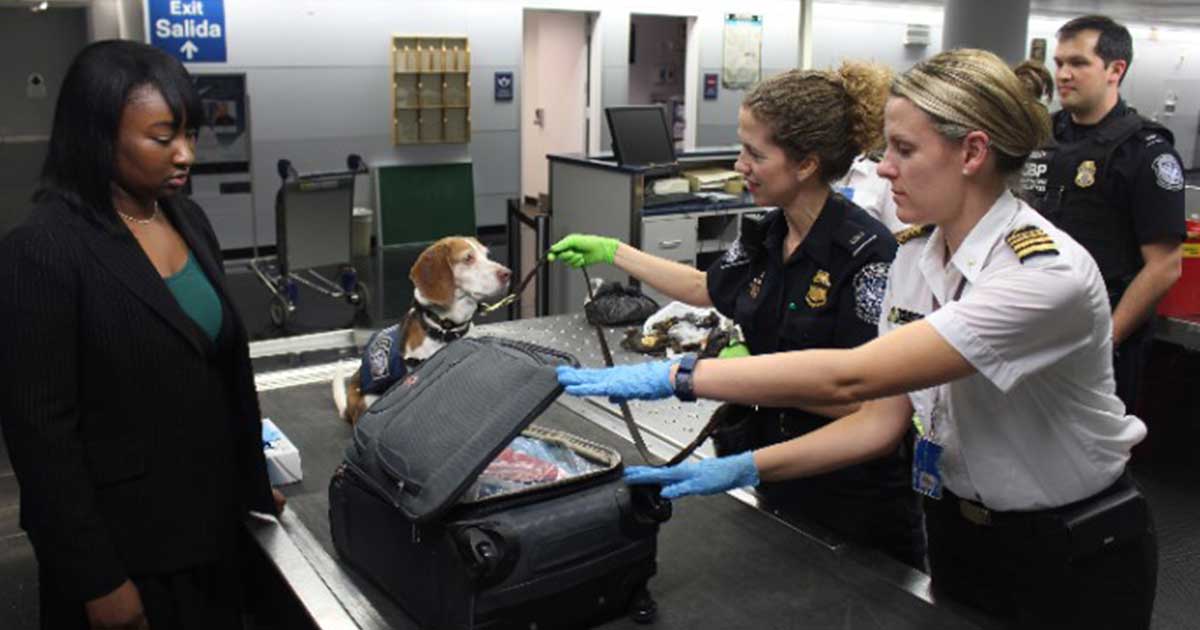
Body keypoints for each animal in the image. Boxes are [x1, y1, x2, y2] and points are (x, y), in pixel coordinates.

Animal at [333, 238, 511, 424]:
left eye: (487, 255)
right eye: (468, 258)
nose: (508, 274)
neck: (446, 328)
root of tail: (348, 410)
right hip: (369, 399)